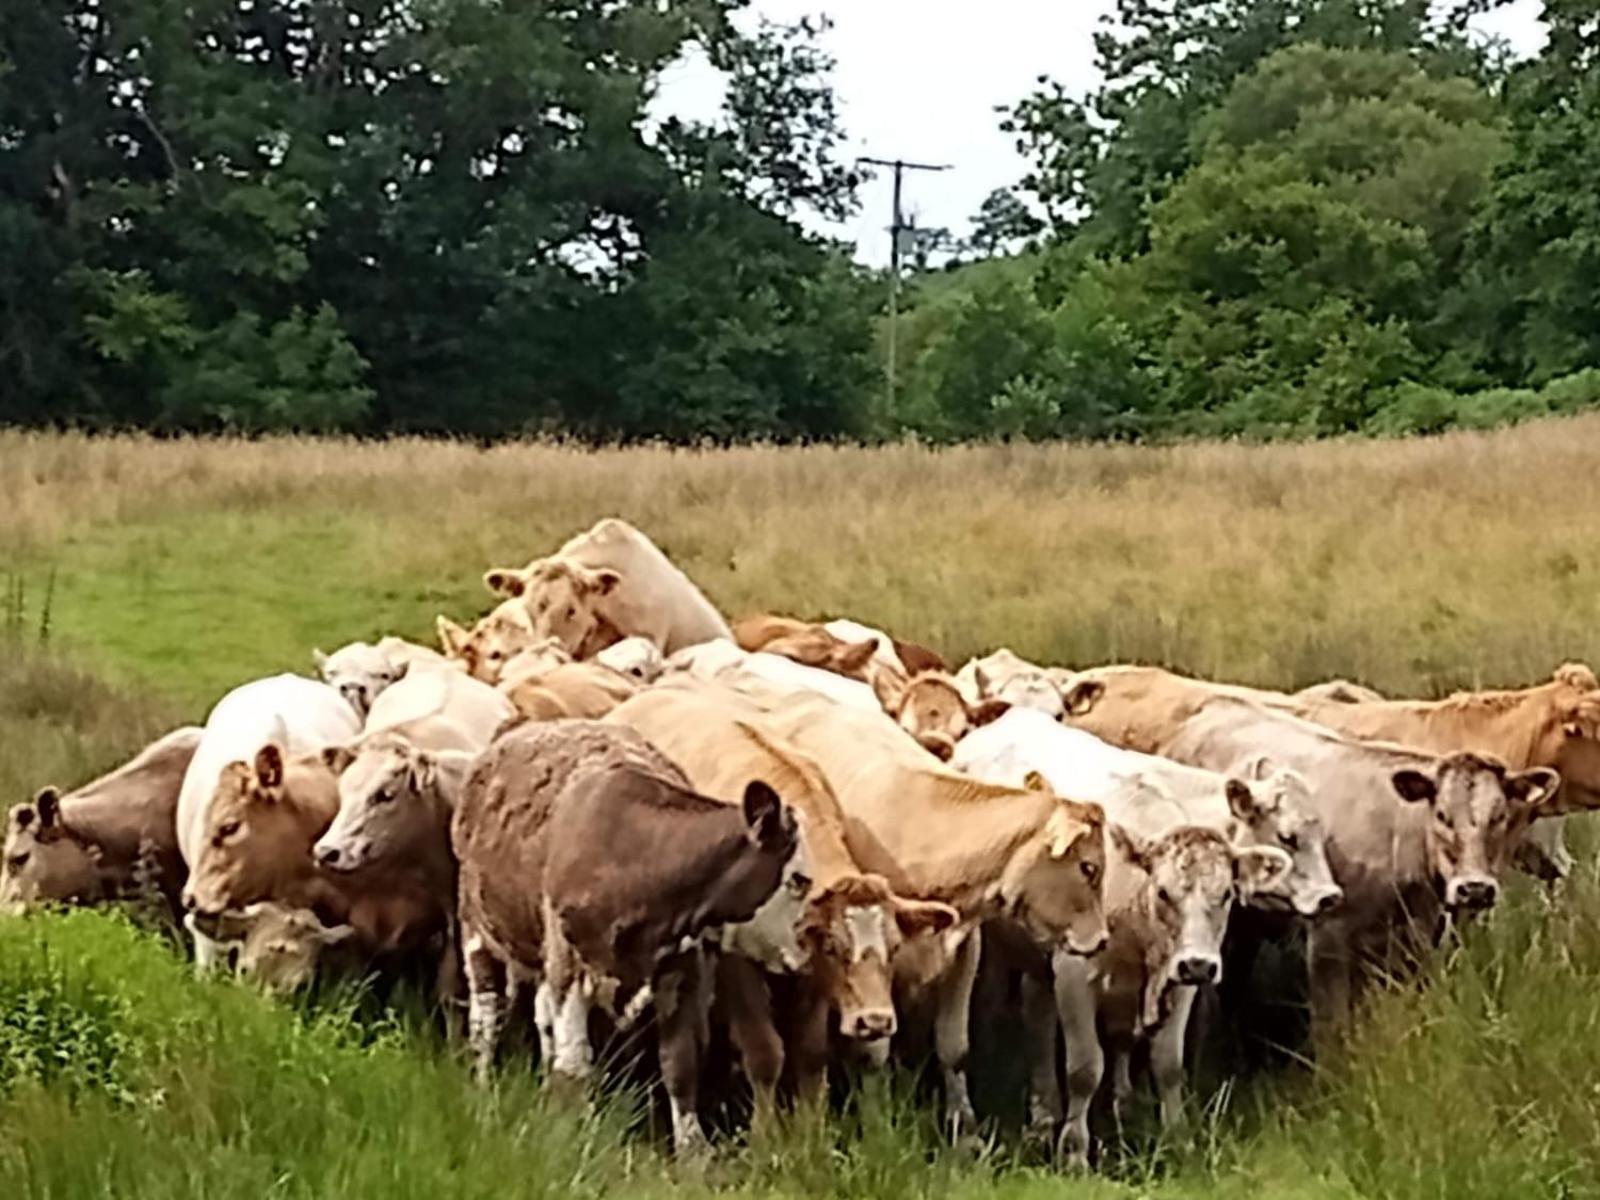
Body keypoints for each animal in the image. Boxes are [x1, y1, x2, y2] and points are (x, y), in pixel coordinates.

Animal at [454, 720, 812, 1158]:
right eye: (800, 879)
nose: (803, 954)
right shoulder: (568, 968)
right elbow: (574, 1067)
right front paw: (570, 1137)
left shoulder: (682, 973)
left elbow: (680, 1063)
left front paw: (693, 1152)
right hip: (478, 931)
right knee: (486, 1019)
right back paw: (483, 1093)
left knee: (543, 1023)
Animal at [604, 681, 953, 1126]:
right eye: (834, 946)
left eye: (894, 947)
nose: (874, 1022)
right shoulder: (737, 964)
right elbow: (765, 1052)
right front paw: (766, 1135)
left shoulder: (811, 977)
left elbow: (810, 1054)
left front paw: (810, 1132)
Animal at [1164, 700, 1561, 1036]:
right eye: (1441, 815)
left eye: (1501, 816)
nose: (1475, 889)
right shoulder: (1328, 940)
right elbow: (1332, 1029)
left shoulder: (1414, 942)